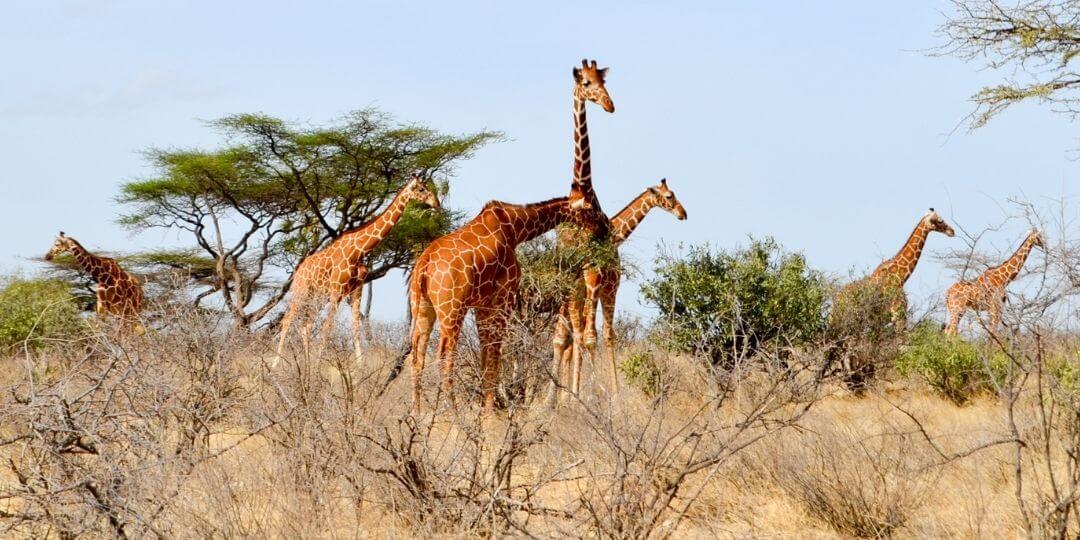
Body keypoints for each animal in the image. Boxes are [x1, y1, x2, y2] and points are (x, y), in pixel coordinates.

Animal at [276, 175, 440, 362]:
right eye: (421, 189)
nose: (436, 203)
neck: (359, 251)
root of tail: (298, 271)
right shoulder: (337, 289)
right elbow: (327, 327)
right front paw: (319, 363)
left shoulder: (357, 289)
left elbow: (355, 327)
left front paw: (359, 365)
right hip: (302, 292)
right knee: (287, 320)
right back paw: (276, 364)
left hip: (317, 296)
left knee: (306, 324)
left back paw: (306, 363)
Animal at [406, 182, 605, 413]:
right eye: (590, 209)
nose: (603, 229)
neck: (515, 229)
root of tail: (424, 265)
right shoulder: (503, 297)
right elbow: (495, 356)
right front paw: (489, 411)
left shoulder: (482, 304)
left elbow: (485, 356)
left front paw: (484, 408)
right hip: (452, 309)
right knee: (443, 356)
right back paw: (452, 413)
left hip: (423, 307)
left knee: (417, 356)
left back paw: (417, 413)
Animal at [553, 179, 687, 398]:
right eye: (669, 196)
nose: (683, 213)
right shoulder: (610, 287)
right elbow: (599, 336)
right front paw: (605, 392)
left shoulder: (602, 290)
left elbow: (597, 335)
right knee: (575, 336)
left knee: (564, 337)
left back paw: (563, 395)